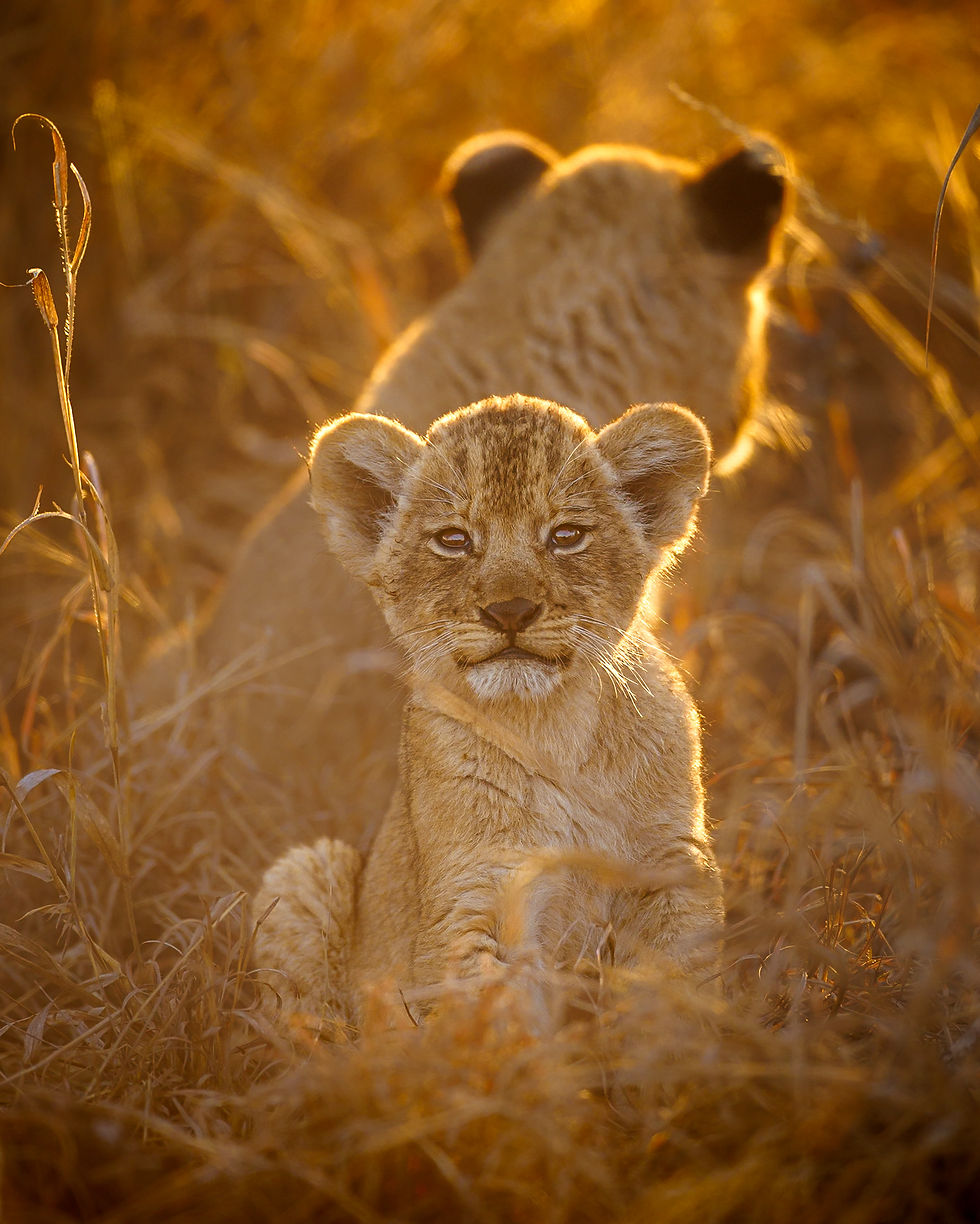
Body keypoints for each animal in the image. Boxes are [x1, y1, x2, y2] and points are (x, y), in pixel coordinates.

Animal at [253, 394, 723, 1029]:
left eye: (566, 535)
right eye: (453, 540)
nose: (510, 610)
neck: (551, 729)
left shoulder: (672, 868)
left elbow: (679, 991)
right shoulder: (473, 895)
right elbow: (494, 1020)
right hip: (306, 870)